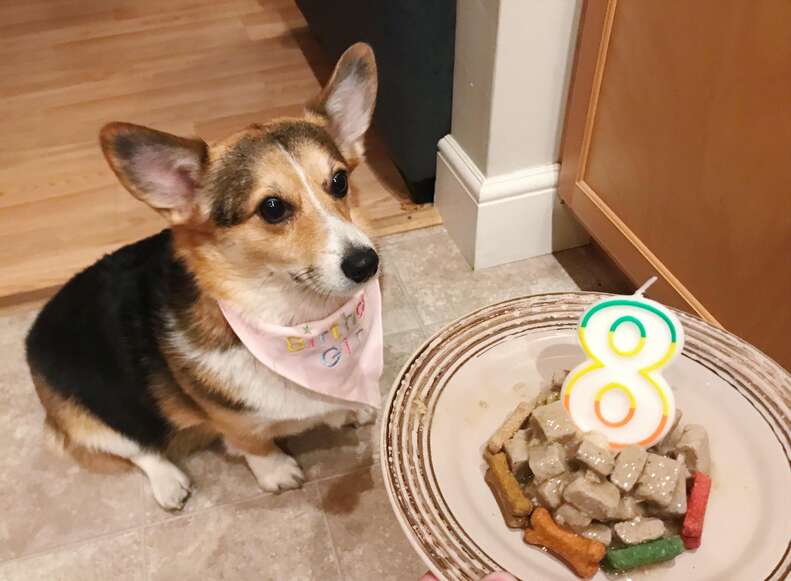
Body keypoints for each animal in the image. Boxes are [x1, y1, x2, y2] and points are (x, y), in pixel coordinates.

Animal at [24, 43, 384, 510]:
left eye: (339, 182)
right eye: (272, 208)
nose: (366, 263)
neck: (299, 322)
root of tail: (36, 326)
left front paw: (353, 408)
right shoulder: (233, 424)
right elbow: (251, 443)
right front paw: (276, 472)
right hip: (89, 415)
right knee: (137, 447)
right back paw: (169, 481)